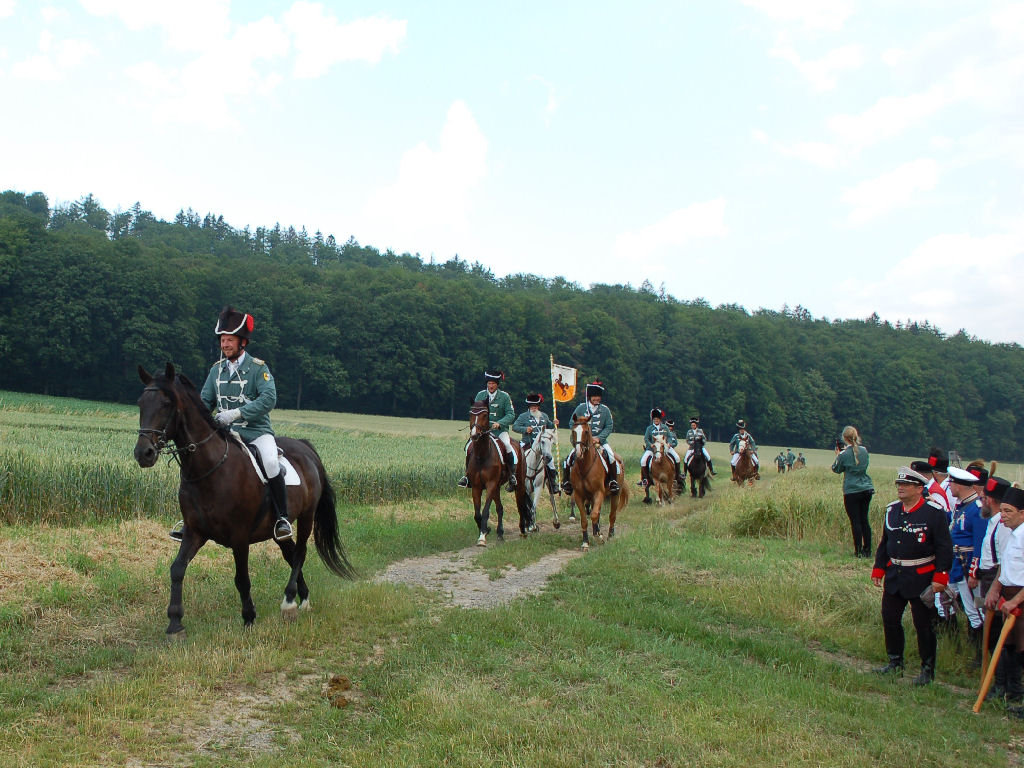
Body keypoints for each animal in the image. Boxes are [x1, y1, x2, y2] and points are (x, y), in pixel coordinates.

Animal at [133, 363, 356, 637]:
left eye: (166, 404)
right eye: (141, 403)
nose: (143, 453)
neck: (209, 470)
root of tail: (305, 448)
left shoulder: (239, 537)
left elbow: (242, 578)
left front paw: (249, 617)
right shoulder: (195, 531)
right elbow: (177, 569)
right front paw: (175, 623)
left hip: (306, 517)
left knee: (300, 552)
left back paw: (289, 602)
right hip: (276, 530)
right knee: (290, 552)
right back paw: (302, 598)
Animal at [466, 401, 534, 546]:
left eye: (485, 415)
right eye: (470, 413)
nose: (474, 435)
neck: (482, 456)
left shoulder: (490, 484)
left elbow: (485, 511)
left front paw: (482, 537)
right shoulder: (476, 487)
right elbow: (477, 514)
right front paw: (486, 530)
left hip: (518, 484)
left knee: (520, 505)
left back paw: (523, 530)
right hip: (497, 487)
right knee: (500, 508)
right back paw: (500, 534)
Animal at [569, 414, 629, 550]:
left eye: (586, 431)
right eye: (574, 431)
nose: (579, 453)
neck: (584, 466)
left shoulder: (598, 493)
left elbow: (594, 514)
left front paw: (599, 537)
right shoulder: (579, 495)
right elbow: (585, 519)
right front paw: (585, 542)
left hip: (615, 495)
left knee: (612, 515)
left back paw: (610, 535)